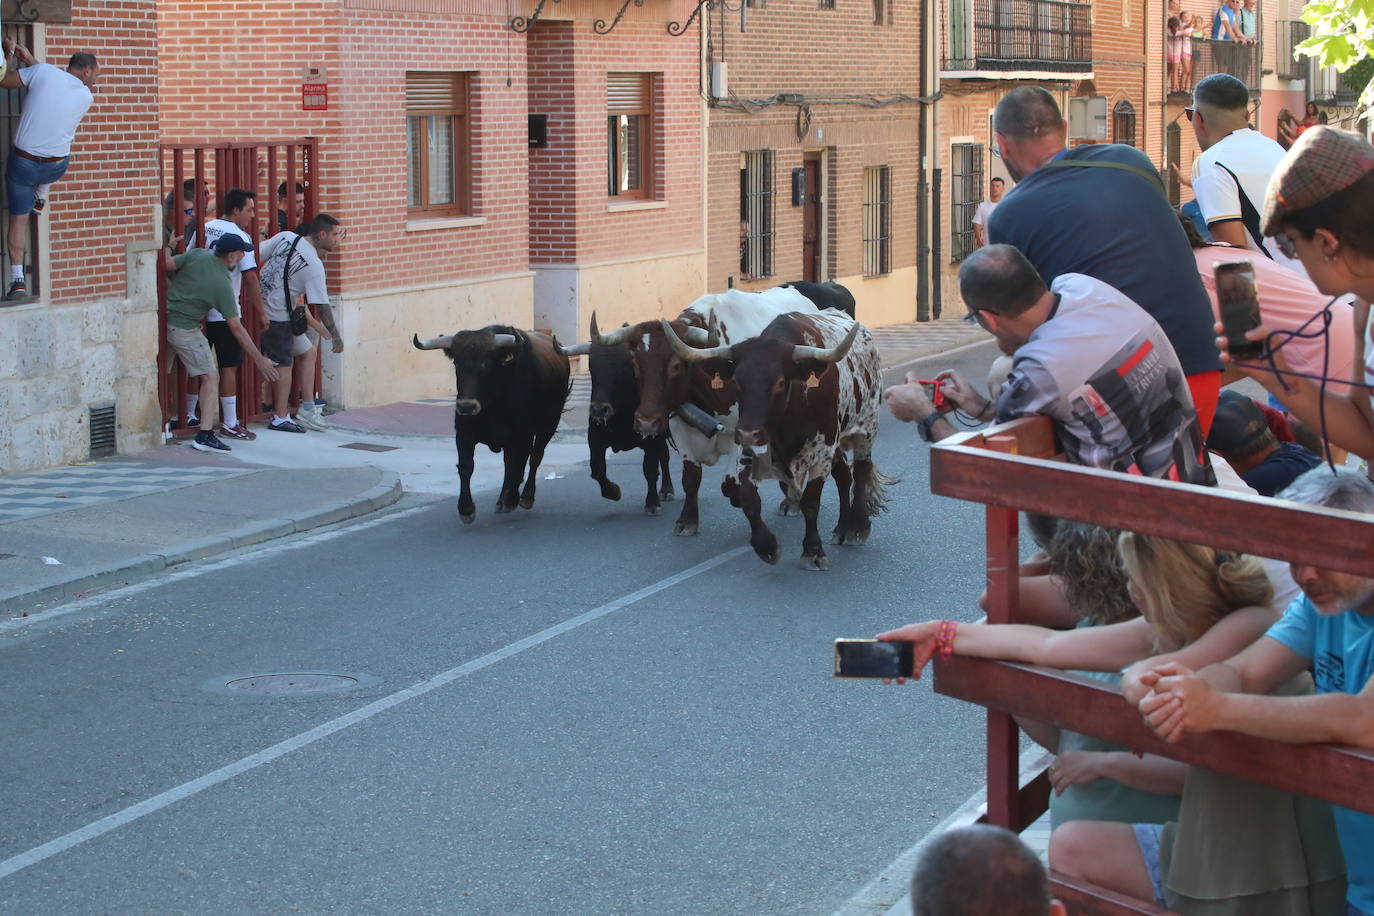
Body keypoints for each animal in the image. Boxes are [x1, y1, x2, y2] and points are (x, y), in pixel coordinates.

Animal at [406, 325, 568, 521]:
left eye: (486, 364)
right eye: (457, 364)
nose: (466, 407)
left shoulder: (524, 435)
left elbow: (519, 465)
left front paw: (511, 500)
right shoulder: (464, 433)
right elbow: (466, 466)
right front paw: (466, 508)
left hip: (549, 424)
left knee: (535, 456)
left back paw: (525, 497)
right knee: (508, 462)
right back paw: (501, 498)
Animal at [665, 311, 890, 568]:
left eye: (780, 382)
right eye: (736, 382)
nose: (746, 432)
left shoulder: (822, 451)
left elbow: (811, 502)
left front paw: (813, 551)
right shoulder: (751, 451)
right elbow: (749, 499)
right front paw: (767, 545)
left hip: (867, 428)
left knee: (861, 470)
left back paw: (856, 528)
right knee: (844, 474)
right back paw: (842, 528)